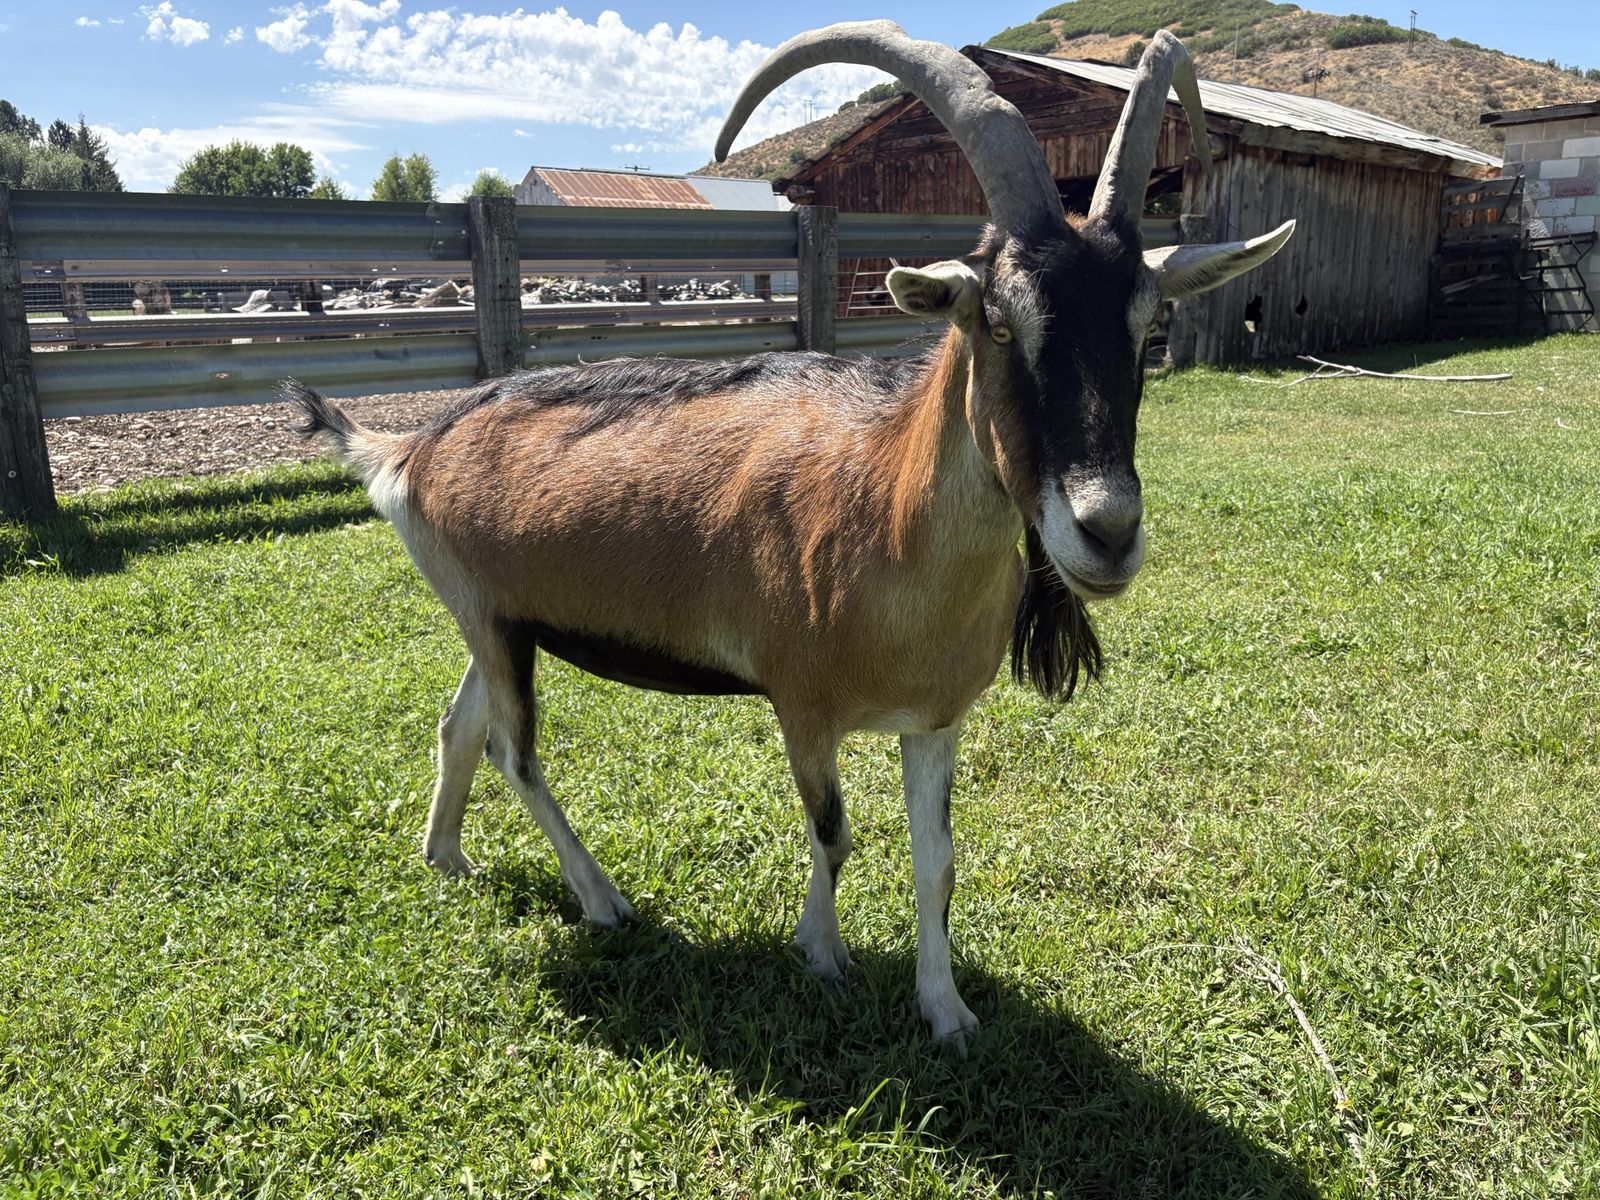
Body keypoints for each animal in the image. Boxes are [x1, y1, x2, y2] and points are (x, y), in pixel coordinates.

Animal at [290, 22, 1294, 1050]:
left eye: (1145, 321)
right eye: (1000, 322)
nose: (1108, 532)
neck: (881, 512)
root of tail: (409, 447)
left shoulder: (935, 721)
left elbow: (938, 859)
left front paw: (948, 1011)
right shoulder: (802, 708)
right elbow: (835, 830)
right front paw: (823, 955)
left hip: (491, 616)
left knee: (459, 727)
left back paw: (446, 857)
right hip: (492, 624)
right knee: (515, 753)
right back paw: (603, 899)